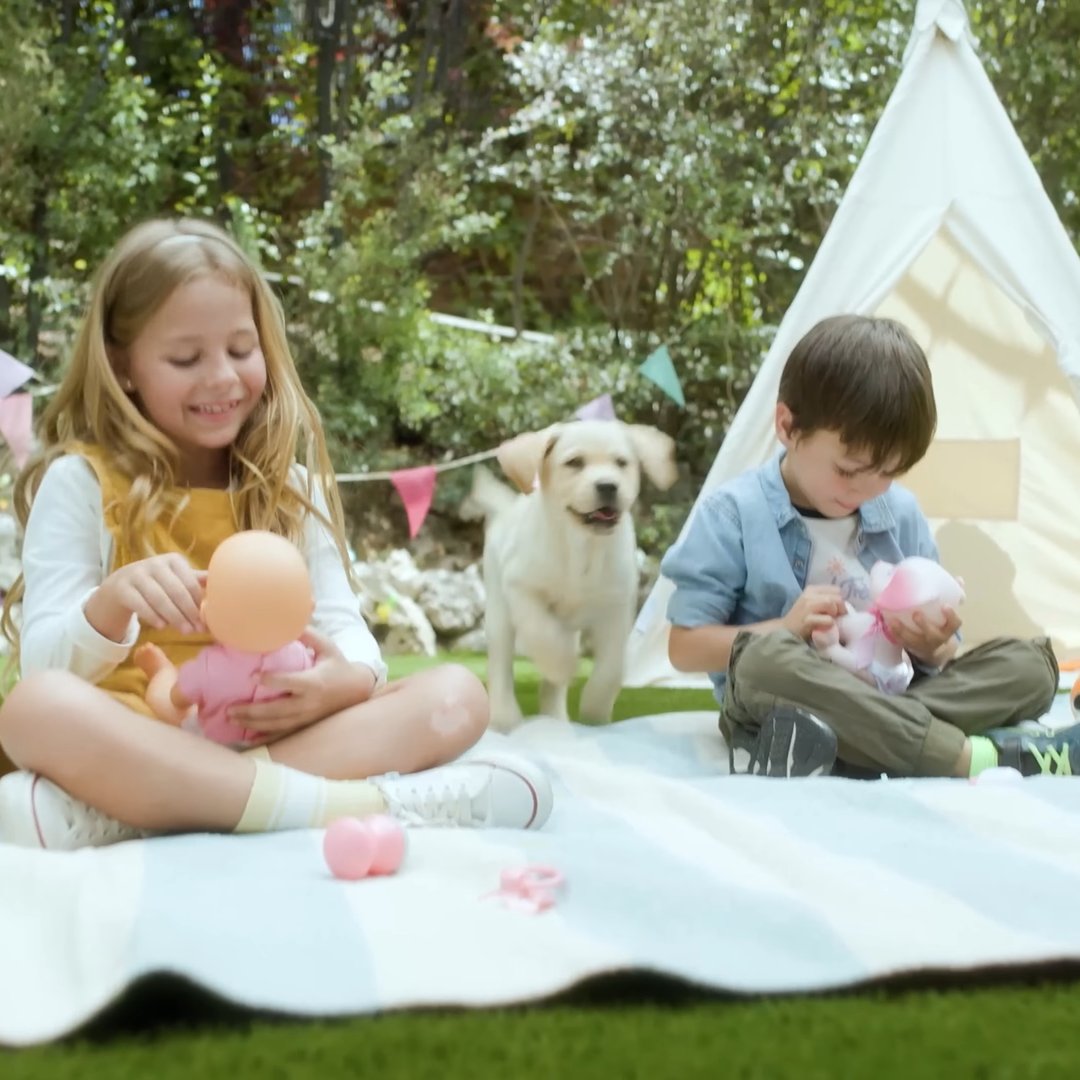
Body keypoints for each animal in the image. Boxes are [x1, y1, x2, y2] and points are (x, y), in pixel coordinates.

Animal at [466, 416, 669, 730]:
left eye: (621, 463)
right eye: (574, 463)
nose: (608, 486)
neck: (581, 548)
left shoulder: (616, 609)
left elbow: (611, 668)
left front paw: (595, 712)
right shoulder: (522, 588)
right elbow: (543, 634)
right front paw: (562, 667)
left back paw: (555, 716)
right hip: (499, 612)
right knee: (500, 666)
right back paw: (505, 717)